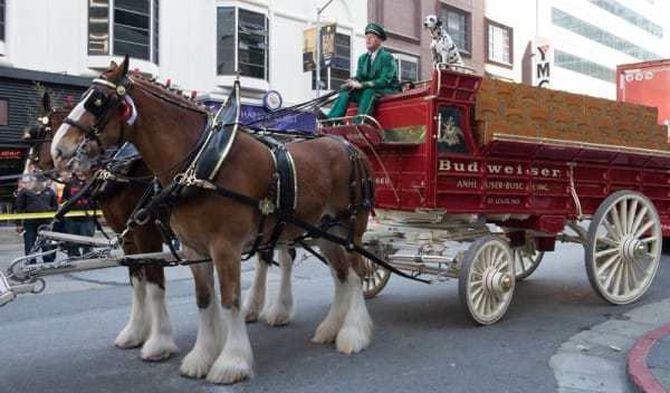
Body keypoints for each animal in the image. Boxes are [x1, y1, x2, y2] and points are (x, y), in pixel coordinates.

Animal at [51, 59, 378, 382]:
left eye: (97, 101)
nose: (58, 150)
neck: (200, 164)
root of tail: (350, 147)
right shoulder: (191, 247)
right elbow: (203, 299)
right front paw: (201, 356)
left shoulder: (221, 246)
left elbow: (228, 298)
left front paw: (230, 361)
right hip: (322, 230)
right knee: (341, 275)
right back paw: (330, 327)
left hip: (350, 228)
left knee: (357, 272)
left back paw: (353, 332)